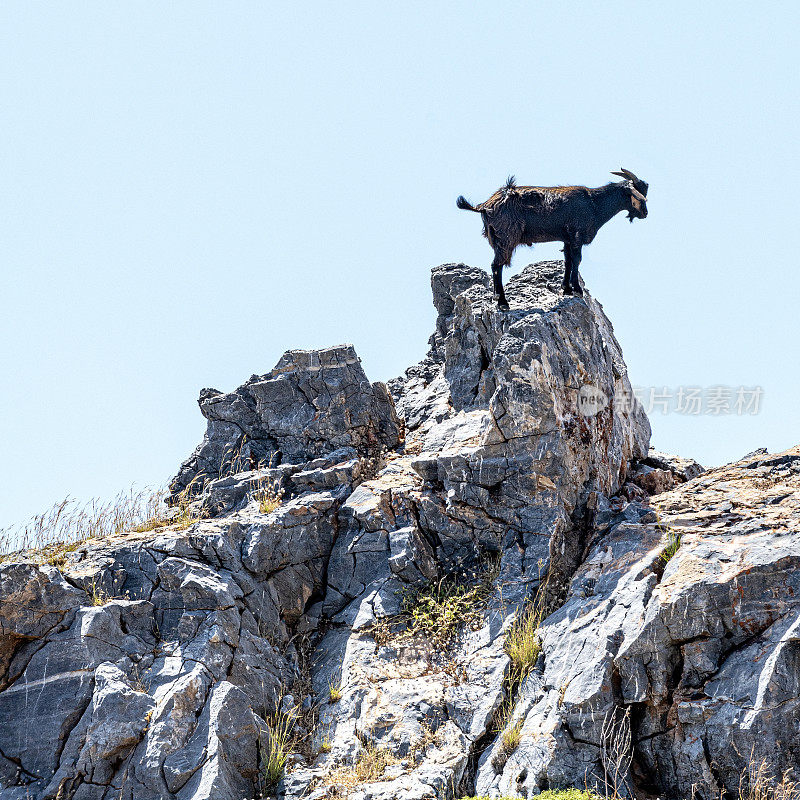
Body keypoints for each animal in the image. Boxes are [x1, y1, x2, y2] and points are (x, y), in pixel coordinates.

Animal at [460, 167, 648, 308]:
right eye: (636, 193)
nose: (645, 213)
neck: (595, 203)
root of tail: (485, 205)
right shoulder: (577, 234)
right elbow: (577, 259)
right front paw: (577, 290)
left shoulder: (567, 237)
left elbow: (568, 261)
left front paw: (566, 289)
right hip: (506, 237)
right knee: (496, 265)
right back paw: (502, 302)